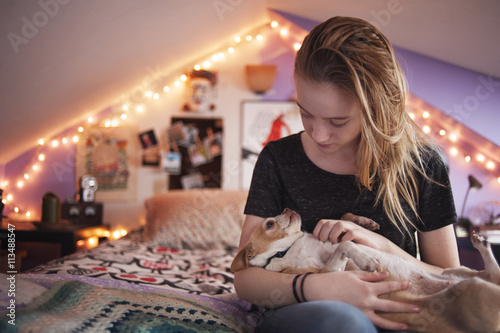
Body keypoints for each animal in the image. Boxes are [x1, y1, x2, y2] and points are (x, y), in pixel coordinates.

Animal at [232, 209, 500, 330]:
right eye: (269, 224)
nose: (288, 209)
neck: (287, 250)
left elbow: (344, 220)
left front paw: (365, 223)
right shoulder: (331, 274)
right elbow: (345, 245)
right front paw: (367, 261)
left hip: (456, 271)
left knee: (491, 273)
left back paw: (483, 243)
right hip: (473, 289)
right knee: (489, 278)